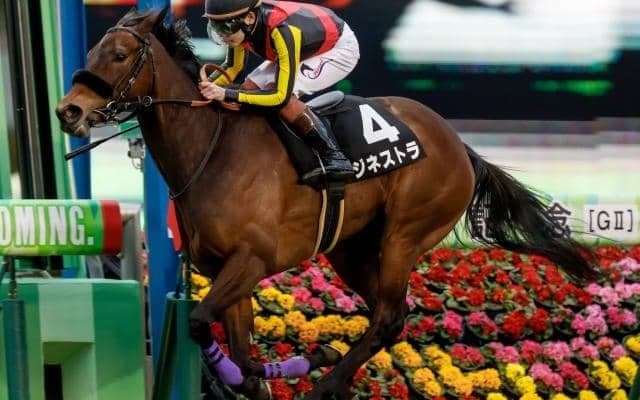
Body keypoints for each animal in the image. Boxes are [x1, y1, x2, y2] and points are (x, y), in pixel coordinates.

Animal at [55, 8, 598, 400]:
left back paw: (326, 385)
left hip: (405, 234)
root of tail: (459, 144)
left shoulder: (251, 260)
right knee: (391, 314)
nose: (68, 111)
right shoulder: (226, 271)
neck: (212, 148)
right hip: (351, 249)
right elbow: (238, 349)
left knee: (388, 316)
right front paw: (271, 369)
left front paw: (301, 362)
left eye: (120, 54)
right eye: (93, 49)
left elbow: (198, 322)